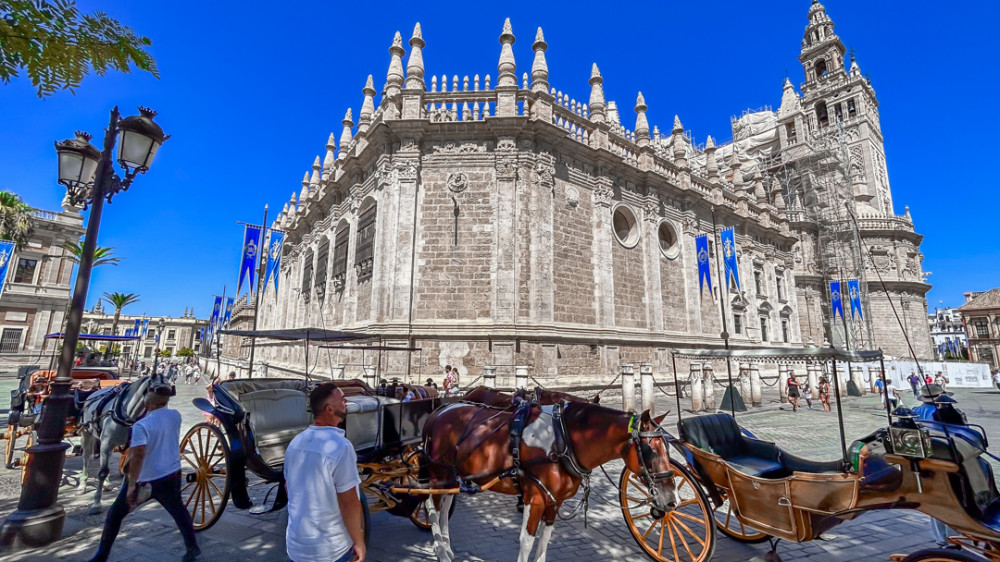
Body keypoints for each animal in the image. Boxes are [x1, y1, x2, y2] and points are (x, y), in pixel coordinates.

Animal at [78, 374, 164, 516]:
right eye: (156, 390)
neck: (128, 416)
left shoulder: (129, 445)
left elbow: (127, 471)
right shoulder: (106, 442)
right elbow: (102, 472)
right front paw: (96, 504)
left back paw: (107, 484)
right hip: (87, 434)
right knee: (86, 457)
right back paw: (82, 485)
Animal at [418, 400, 676, 556]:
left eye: (668, 449)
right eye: (649, 451)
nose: (671, 500)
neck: (563, 439)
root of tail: (438, 412)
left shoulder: (554, 501)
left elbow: (544, 541)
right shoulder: (535, 498)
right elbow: (527, 540)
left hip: (454, 476)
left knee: (445, 506)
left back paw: (447, 548)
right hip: (437, 472)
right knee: (432, 505)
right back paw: (440, 551)